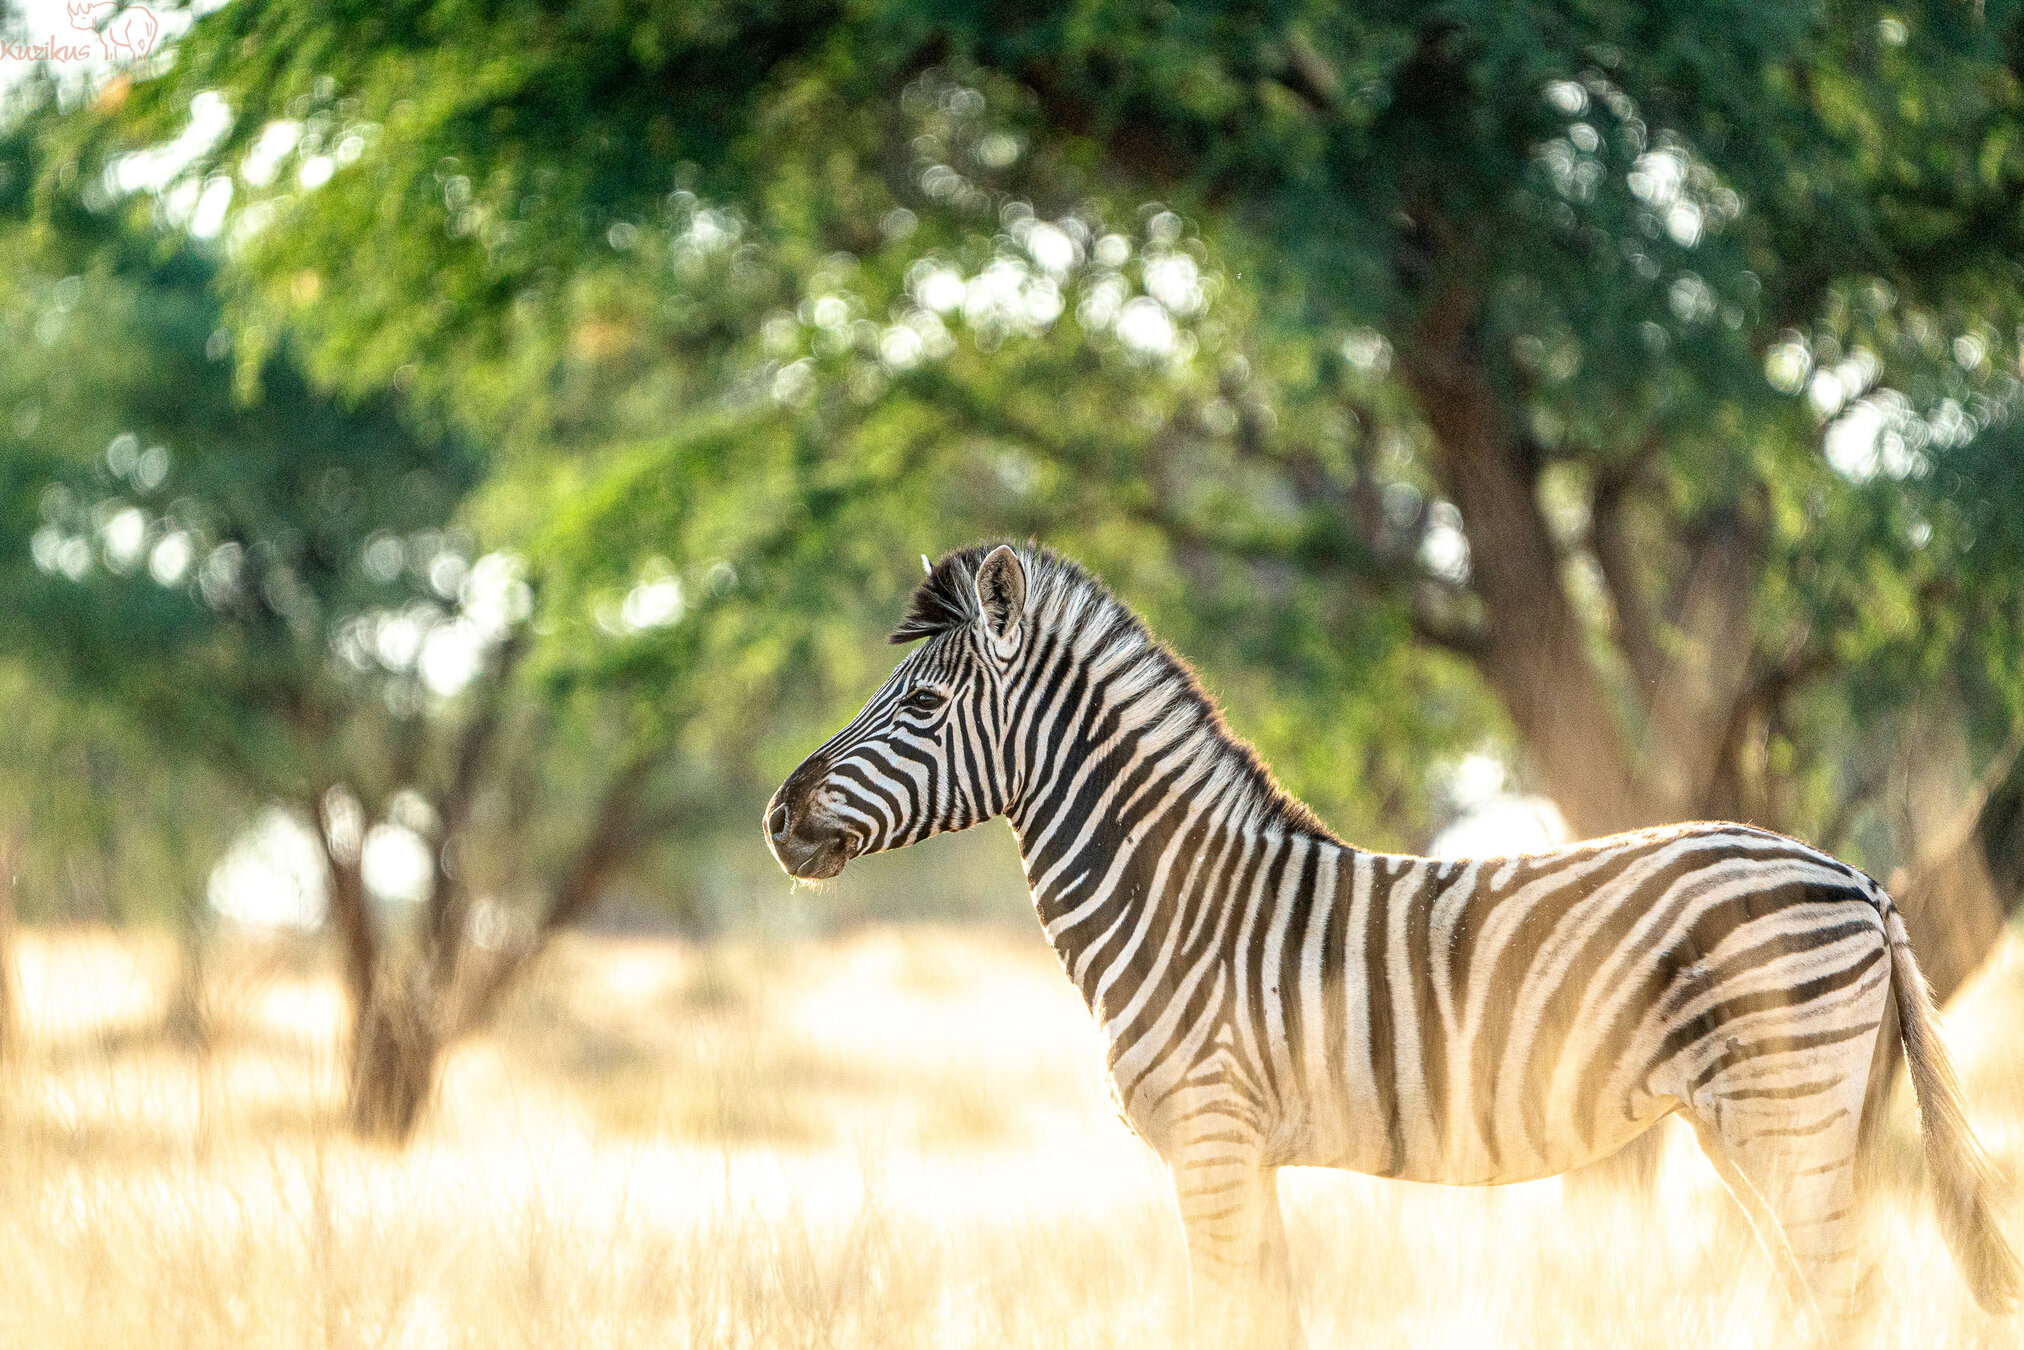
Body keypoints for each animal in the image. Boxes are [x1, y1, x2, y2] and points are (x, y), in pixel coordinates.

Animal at [764, 542, 2020, 1345]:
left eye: (922, 708)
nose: (778, 816)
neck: (1178, 905)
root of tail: (1857, 879)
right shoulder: (1246, 1156)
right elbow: (1265, 1325)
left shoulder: (1209, 1142)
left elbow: (1219, 1320)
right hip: (1762, 1124)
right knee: (1826, 1295)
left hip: (1785, 1110)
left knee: (1848, 1294)